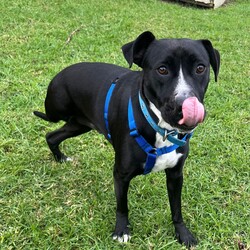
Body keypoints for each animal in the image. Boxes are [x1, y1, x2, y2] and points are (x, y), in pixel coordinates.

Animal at [34, 30, 220, 246]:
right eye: (162, 69)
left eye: (200, 68)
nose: (185, 105)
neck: (160, 128)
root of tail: (60, 74)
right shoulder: (121, 175)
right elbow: (122, 206)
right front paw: (121, 230)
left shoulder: (175, 174)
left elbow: (176, 209)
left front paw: (182, 233)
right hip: (59, 111)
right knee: (51, 126)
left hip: (79, 125)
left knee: (52, 136)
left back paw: (60, 157)